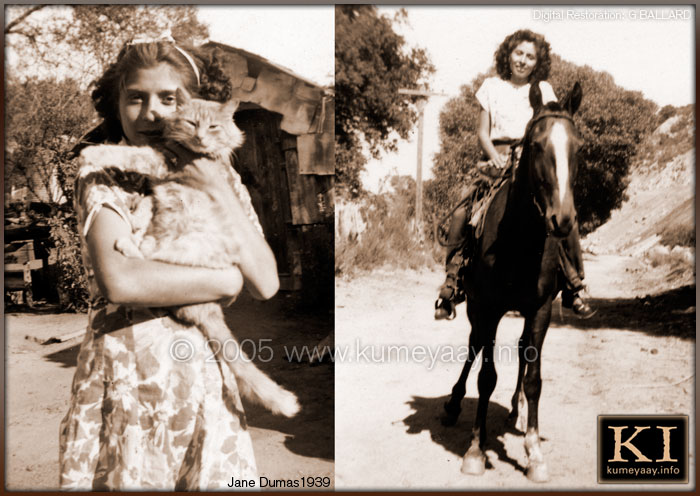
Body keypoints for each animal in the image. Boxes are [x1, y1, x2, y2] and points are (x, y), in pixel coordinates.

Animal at [442, 83, 584, 482]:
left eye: (579, 147)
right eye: (535, 145)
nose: (562, 219)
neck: (520, 239)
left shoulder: (540, 308)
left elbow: (534, 376)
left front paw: (534, 451)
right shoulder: (487, 307)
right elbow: (486, 376)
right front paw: (476, 450)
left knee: (521, 351)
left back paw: (516, 410)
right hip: (474, 307)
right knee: (474, 346)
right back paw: (453, 403)